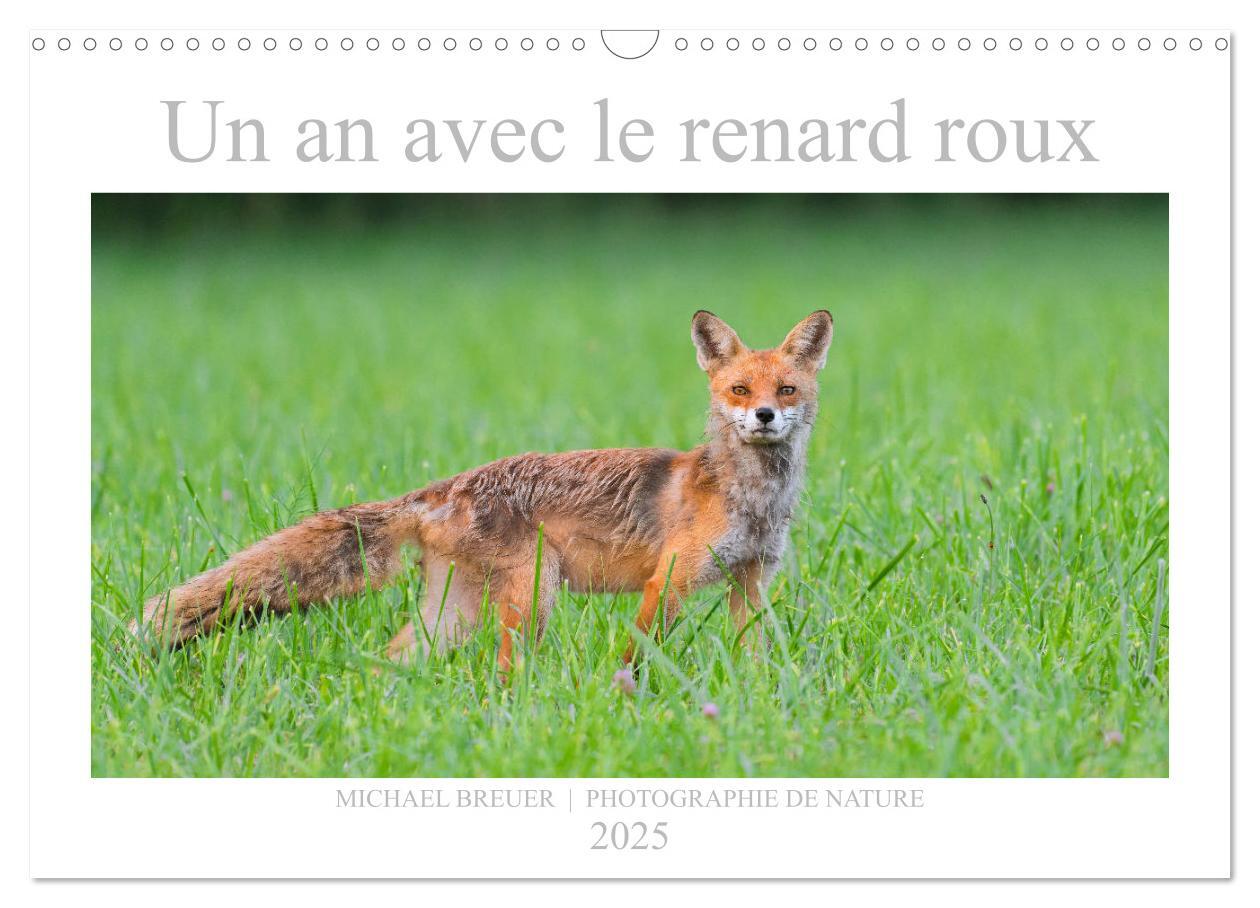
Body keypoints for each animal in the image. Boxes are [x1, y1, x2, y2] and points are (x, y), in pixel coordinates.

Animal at [133, 309, 833, 674]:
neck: (750, 499)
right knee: (503, 668)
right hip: (531, 596)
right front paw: (625, 696)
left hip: (454, 611)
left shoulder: (750, 580)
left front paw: (760, 701)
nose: (765, 416)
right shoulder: (670, 580)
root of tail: (446, 485)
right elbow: (638, 652)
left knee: (394, 654)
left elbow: (756, 654)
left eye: (787, 390)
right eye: (739, 389)